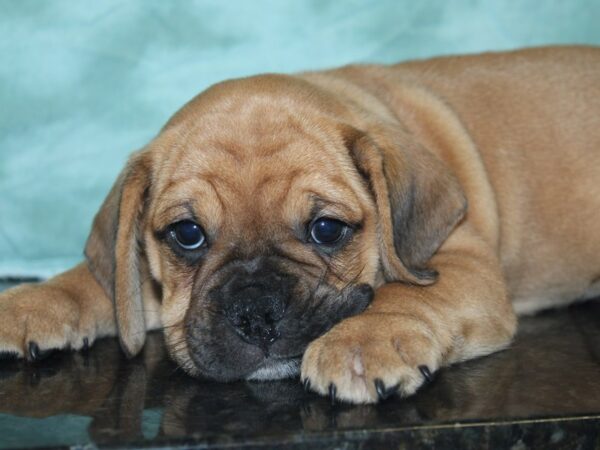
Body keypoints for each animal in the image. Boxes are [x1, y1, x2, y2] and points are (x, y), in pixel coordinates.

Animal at [1, 46, 600, 404]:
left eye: (327, 229)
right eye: (187, 235)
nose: (255, 315)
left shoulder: (462, 262)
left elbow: (411, 293)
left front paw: (364, 339)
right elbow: (98, 281)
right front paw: (33, 302)